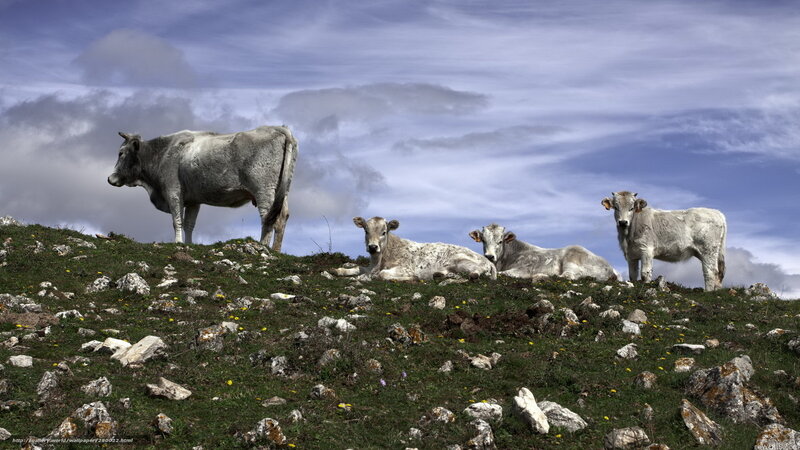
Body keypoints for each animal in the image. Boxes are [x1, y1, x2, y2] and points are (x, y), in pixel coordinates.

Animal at [108, 126, 297, 249]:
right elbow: (189, 224)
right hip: (282, 191)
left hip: (264, 190)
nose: (110, 178)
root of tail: (279, 129)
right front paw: (189, 244)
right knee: (282, 218)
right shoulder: (193, 200)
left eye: (121, 153)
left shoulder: (173, 192)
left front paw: (177, 243)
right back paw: (276, 250)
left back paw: (263, 247)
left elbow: (177, 221)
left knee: (268, 217)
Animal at [334, 216, 497, 281]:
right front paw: (338, 270)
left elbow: (383, 274)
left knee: (476, 272)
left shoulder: (405, 268)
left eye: (384, 232)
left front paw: (413, 278)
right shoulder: (369, 268)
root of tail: (489, 262)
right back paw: (440, 275)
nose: (373, 247)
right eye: (366, 231)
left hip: (460, 261)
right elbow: (356, 268)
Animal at [469, 223, 618, 281]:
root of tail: (610, 267)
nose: (489, 256)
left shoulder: (523, 269)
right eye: (483, 240)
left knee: (568, 276)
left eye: (500, 241)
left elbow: (504, 274)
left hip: (572, 260)